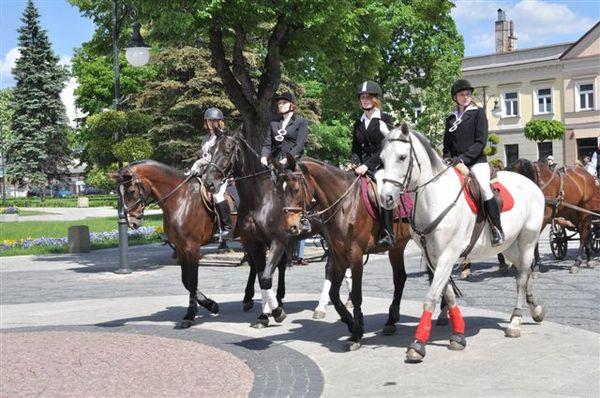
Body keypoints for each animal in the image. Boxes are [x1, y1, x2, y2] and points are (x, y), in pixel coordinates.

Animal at [116, 160, 236, 328]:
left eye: (131, 190)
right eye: (117, 192)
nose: (132, 222)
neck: (181, 199)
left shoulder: (192, 248)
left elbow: (192, 281)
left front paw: (190, 315)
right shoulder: (180, 248)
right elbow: (186, 281)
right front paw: (210, 304)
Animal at [382, 123, 548, 360]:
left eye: (402, 157)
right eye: (382, 159)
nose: (385, 198)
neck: (434, 197)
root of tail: (531, 184)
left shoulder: (448, 255)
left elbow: (431, 297)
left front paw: (418, 344)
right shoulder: (434, 258)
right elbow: (449, 295)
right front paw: (458, 335)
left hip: (527, 240)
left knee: (522, 278)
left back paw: (515, 322)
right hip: (509, 246)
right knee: (524, 274)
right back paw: (535, 308)